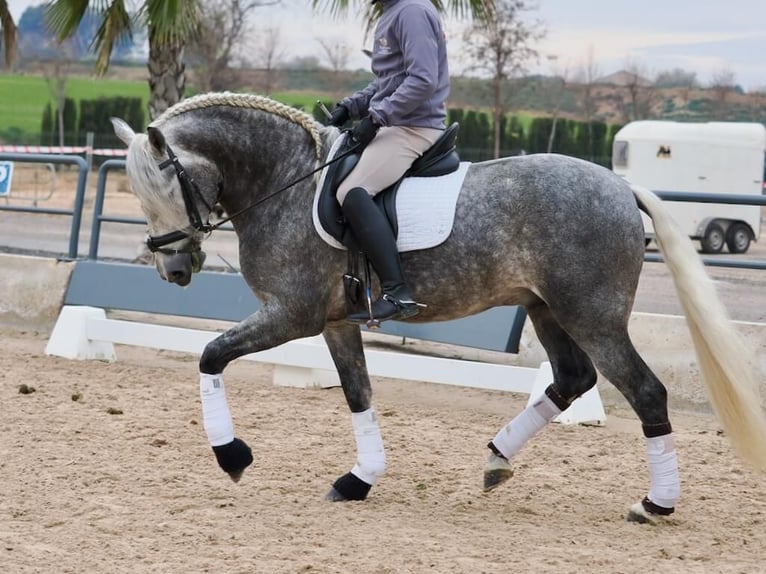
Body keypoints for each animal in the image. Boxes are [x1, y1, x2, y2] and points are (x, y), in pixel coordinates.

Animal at [111, 93, 764, 528]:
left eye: (164, 188)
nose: (174, 271)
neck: (286, 181)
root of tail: (621, 187)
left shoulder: (292, 314)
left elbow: (210, 355)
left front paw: (233, 456)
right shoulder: (335, 322)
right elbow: (358, 394)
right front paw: (359, 480)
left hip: (592, 316)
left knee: (645, 391)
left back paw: (655, 504)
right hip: (547, 309)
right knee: (572, 378)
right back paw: (496, 460)